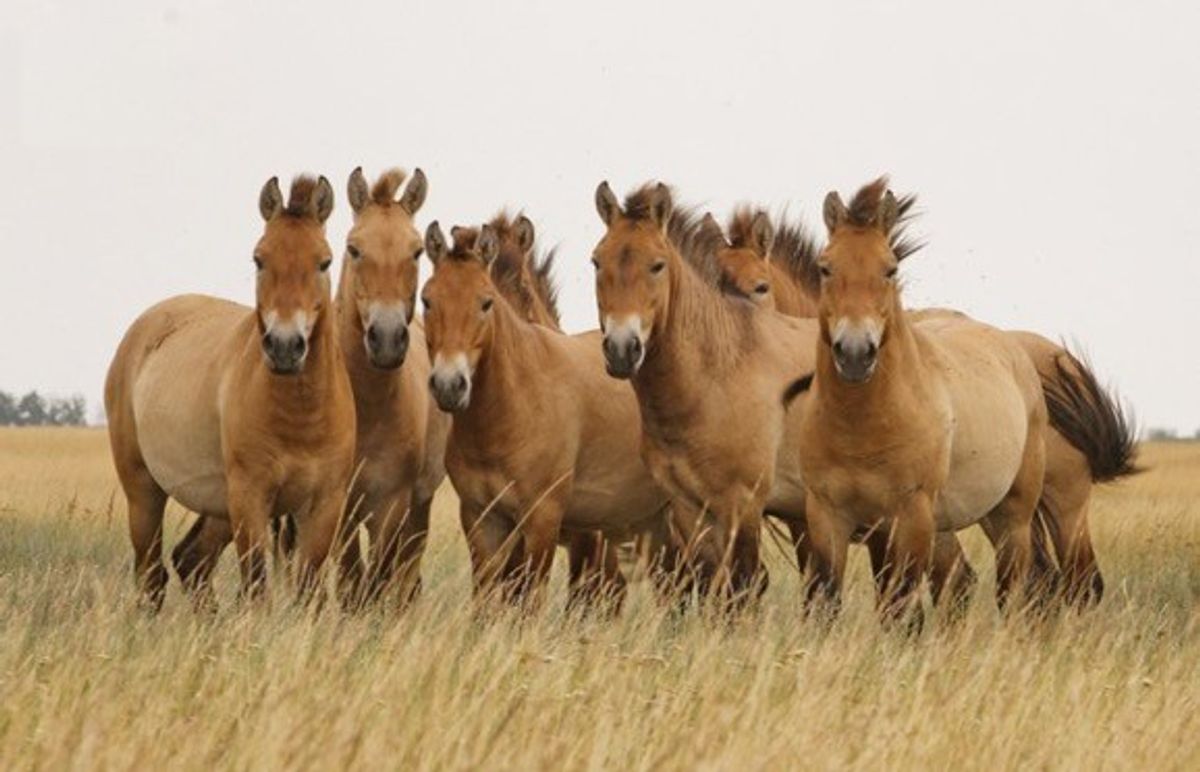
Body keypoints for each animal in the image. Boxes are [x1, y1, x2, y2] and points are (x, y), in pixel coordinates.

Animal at [104, 175, 355, 609]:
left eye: (324, 261)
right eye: (259, 259)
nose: (284, 346)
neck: (301, 416)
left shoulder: (325, 503)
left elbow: (307, 587)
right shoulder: (250, 497)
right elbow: (256, 585)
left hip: (217, 507)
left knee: (190, 560)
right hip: (145, 492)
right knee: (153, 575)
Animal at [420, 218, 676, 609]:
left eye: (486, 302)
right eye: (427, 300)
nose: (450, 385)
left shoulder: (543, 521)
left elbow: (531, 603)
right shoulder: (482, 520)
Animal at [588, 181, 820, 597]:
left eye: (657, 265)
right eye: (597, 262)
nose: (621, 349)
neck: (717, 375)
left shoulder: (743, 505)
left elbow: (743, 584)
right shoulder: (687, 506)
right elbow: (705, 575)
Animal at [796, 177, 1051, 624]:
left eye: (890, 269)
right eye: (825, 268)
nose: (855, 353)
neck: (862, 426)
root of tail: (1013, 350)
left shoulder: (910, 516)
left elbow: (901, 605)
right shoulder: (827, 516)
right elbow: (827, 599)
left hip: (1011, 518)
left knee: (1009, 587)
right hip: (950, 523)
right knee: (960, 581)